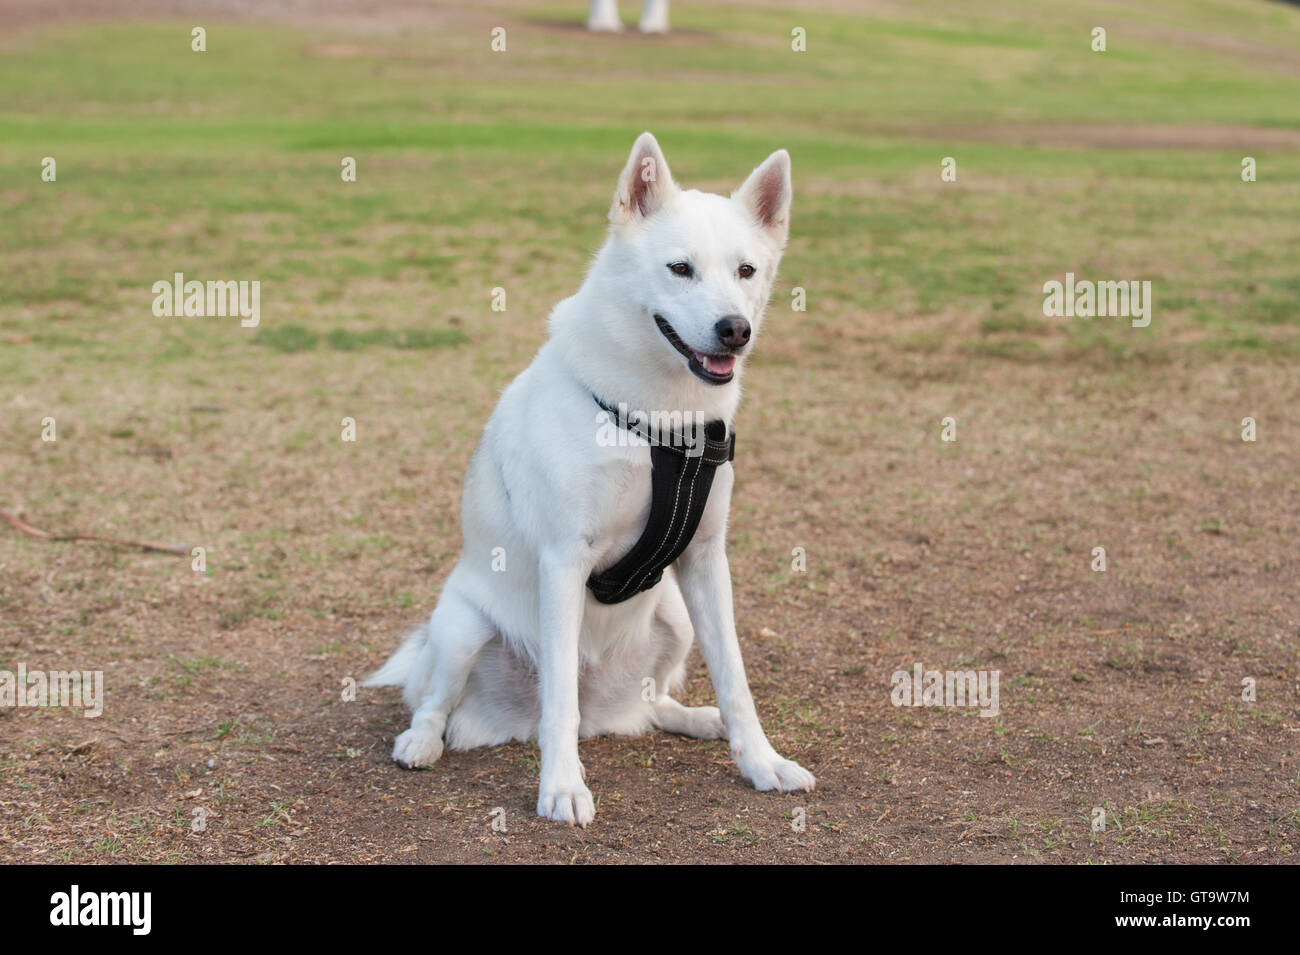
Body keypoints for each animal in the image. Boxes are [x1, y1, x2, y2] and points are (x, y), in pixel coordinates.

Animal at [366, 130, 811, 826]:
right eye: (679, 269)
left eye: (746, 271)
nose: (734, 332)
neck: (657, 421)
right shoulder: (563, 562)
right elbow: (560, 702)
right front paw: (562, 788)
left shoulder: (706, 561)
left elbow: (736, 679)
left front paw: (761, 762)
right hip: (463, 627)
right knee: (444, 701)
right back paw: (422, 741)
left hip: (676, 617)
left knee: (649, 706)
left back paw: (694, 719)